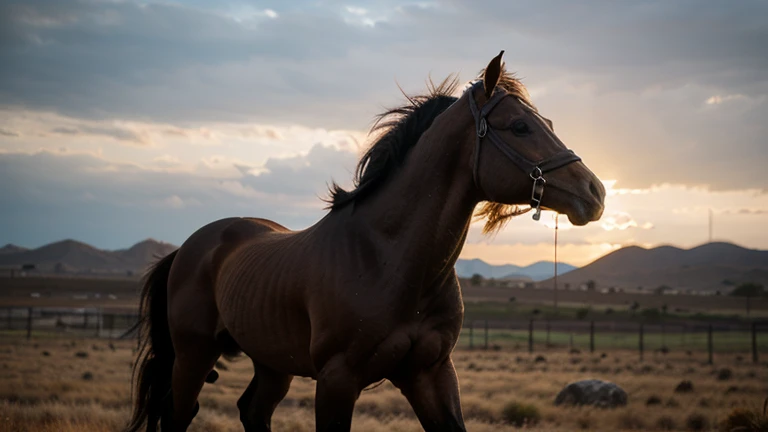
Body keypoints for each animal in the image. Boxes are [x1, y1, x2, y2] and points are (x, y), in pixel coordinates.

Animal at [124, 51, 608, 432]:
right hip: (193, 356)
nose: (596, 192)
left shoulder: (431, 373)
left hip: (271, 363)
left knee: (252, 411)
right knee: (178, 415)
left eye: (546, 122)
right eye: (520, 127)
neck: (387, 259)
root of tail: (190, 248)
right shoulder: (338, 380)